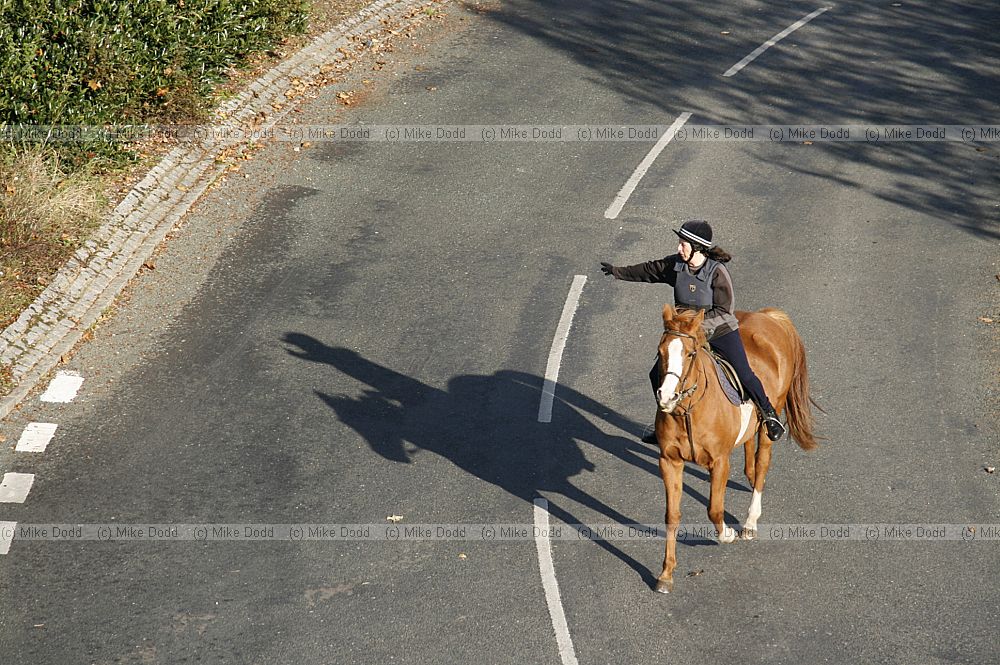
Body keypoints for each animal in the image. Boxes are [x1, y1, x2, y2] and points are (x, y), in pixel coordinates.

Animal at [652, 304, 819, 593]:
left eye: (690, 353)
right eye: (661, 352)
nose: (666, 397)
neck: (689, 411)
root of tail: (769, 316)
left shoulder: (719, 461)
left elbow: (714, 508)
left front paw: (727, 534)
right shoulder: (669, 461)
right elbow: (672, 515)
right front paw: (666, 574)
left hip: (770, 421)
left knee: (762, 462)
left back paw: (750, 522)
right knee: (749, 447)